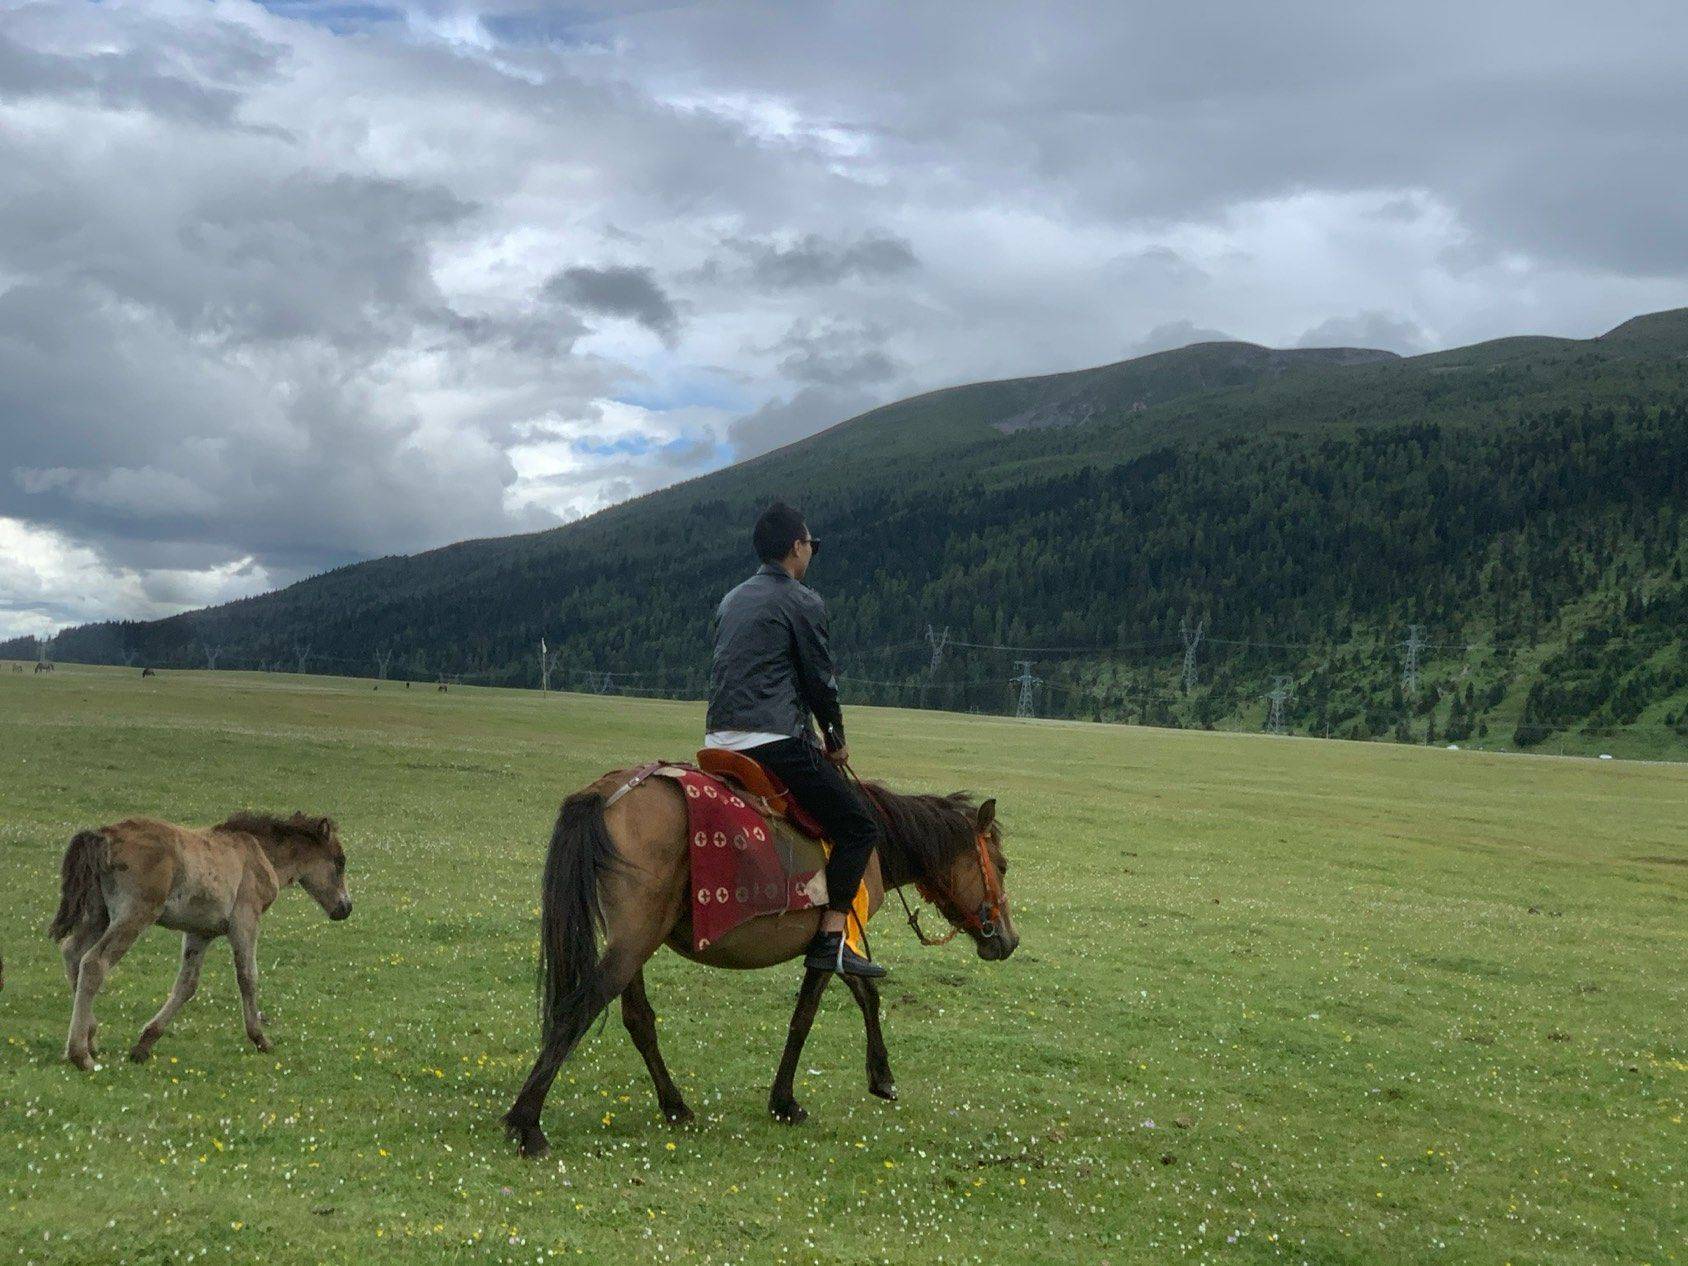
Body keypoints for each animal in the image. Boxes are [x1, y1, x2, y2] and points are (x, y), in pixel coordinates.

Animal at [50, 813, 352, 1073]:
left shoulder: (199, 933)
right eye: (340, 861)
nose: (346, 908)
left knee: (72, 953)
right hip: (134, 916)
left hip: (98, 915)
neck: (258, 852)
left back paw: (90, 1038)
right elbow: (248, 977)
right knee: (94, 963)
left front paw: (144, 1044)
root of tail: (104, 835)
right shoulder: (245, 921)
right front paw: (261, 1039)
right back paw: (81, 1055)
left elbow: (187, 984)